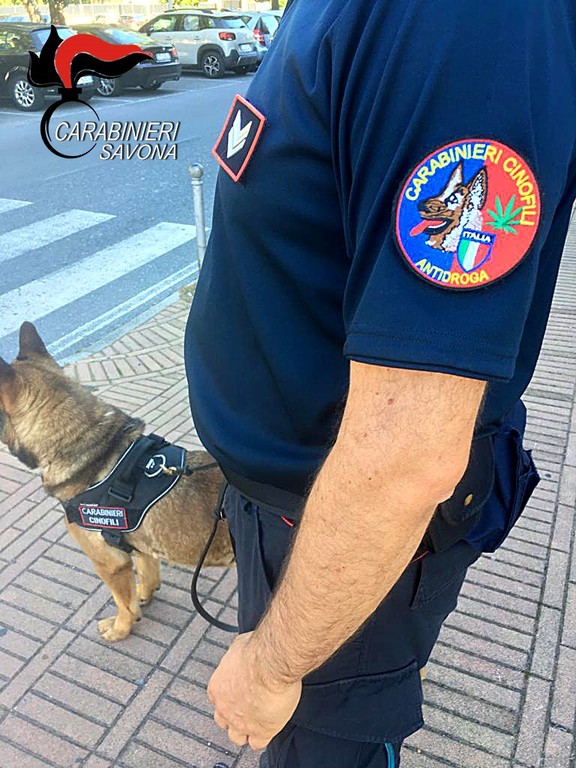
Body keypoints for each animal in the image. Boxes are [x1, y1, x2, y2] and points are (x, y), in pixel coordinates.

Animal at [0, 322, 234, 642]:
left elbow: (123, 602)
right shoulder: (141, 548)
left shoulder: (110, 564)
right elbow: (147, 575)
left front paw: (121, 628)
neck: (90, 445)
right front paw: (145, 595)